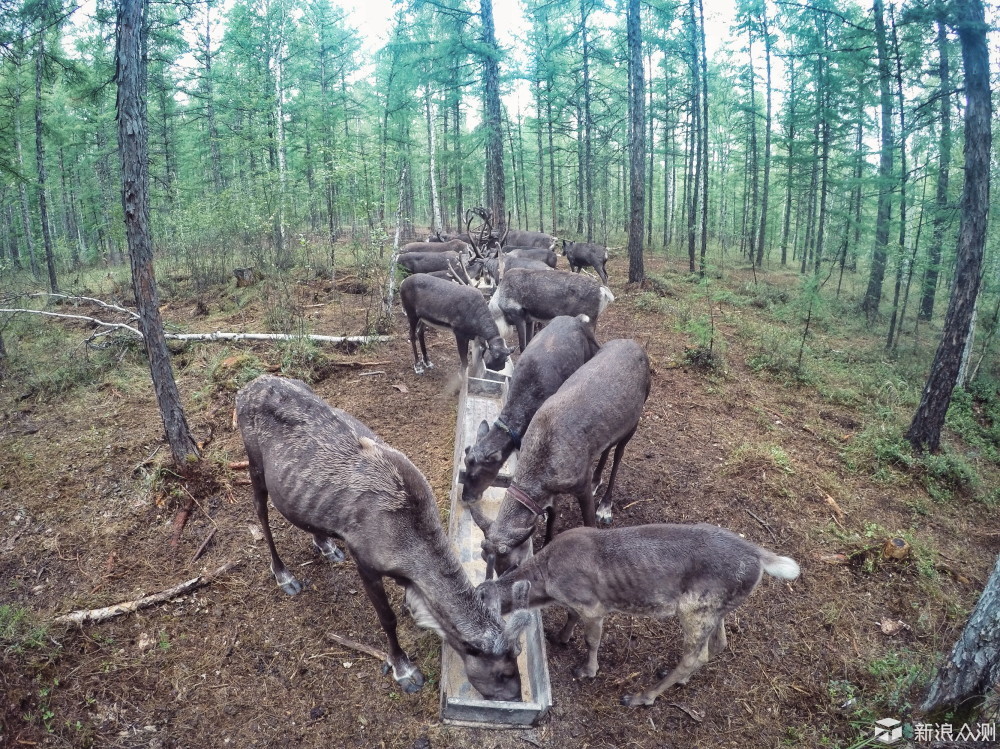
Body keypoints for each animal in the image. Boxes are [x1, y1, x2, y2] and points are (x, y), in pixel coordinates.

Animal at [480, 524, 800, 704]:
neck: (546, 583)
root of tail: (760, 557)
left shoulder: (593, 606)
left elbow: (591, 640)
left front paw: (587, 670)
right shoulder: (576, 603)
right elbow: (570, 618)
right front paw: (560, 637)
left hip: (694, 608)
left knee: (695, 656)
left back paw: (642, 696)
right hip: (716, 607)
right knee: (717, 644)